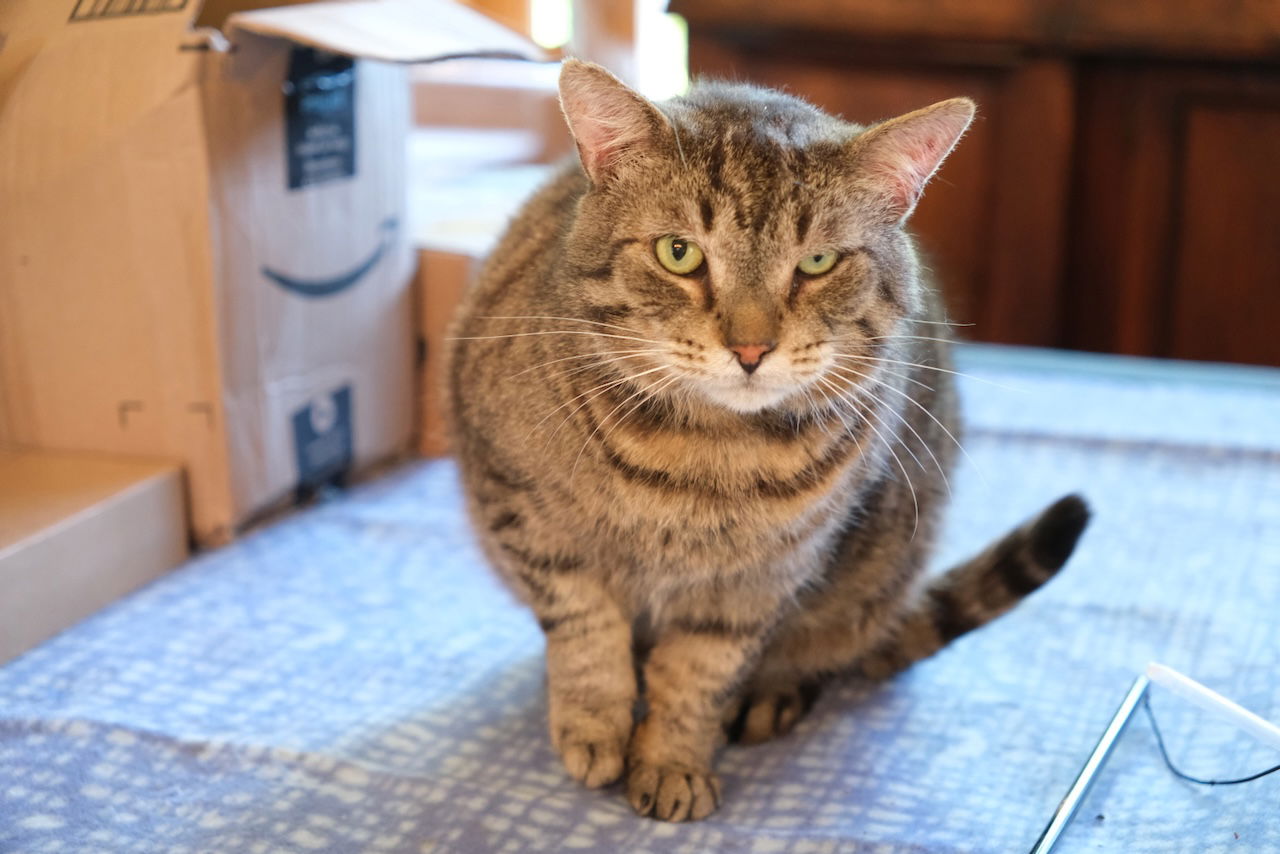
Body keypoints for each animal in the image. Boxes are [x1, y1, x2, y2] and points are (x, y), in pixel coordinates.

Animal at [450, 58, 1090, 819]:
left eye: (817, 263)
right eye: (678, 253)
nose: (750, 348)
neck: (703, 454)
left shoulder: (760, 581)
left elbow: (696, 674)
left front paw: (672, 761)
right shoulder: (524, 513)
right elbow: (586, 631)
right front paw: (594, 724)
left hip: (872, 580)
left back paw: (770, 696)